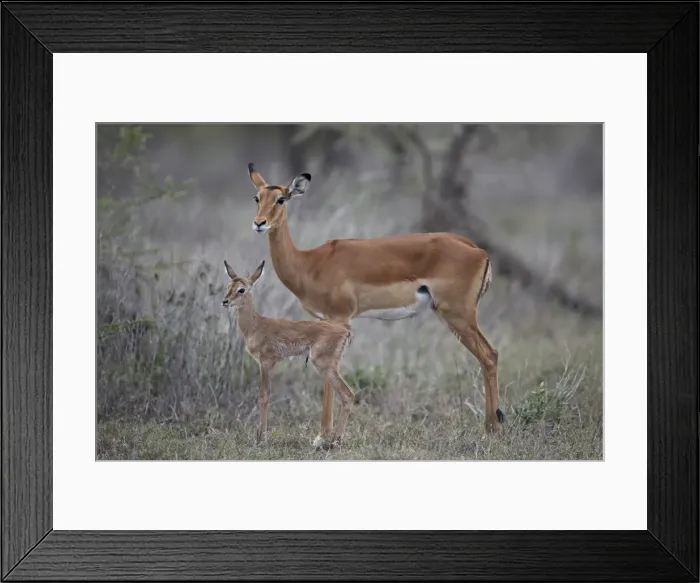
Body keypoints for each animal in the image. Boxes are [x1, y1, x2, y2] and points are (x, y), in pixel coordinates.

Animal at [222, 258, 356, 449]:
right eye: (228, 286)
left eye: (242, 289)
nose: (225, 301)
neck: (256, 325)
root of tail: (345, 331)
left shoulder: (266, 362)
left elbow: (263, 396)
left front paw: (261, 440)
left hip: (324, 366)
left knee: (348, 394)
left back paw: (334, 442)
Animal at [245, 163, 504, 445]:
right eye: (257, 197)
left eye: (281, 199)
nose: (259, 223)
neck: (309, 263)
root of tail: (477, 249)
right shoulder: (324, 321)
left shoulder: (339, 317)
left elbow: (328, 379)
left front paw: (322, 437)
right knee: (489, 356)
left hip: (458, 314)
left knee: (489, 355)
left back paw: (492, 429)